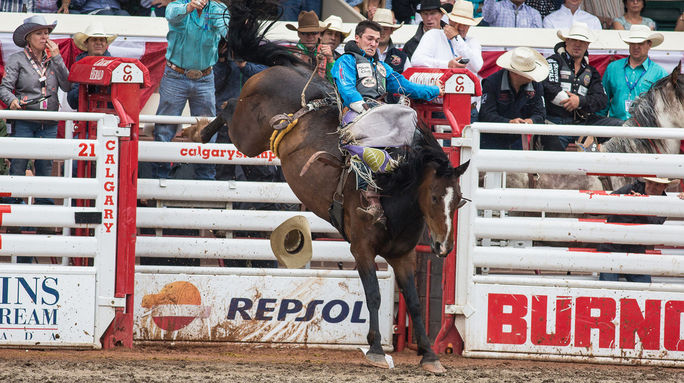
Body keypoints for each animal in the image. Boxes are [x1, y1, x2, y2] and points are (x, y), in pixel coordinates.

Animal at [203, 0, 468, 374]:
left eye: (457, 201)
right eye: (432, 197)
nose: (444, 247)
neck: (393, 192)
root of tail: (284, 71)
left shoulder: (403, 256)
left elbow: (415, 302)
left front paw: (430, 356)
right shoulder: (362, 249)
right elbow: (374, 295)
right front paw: (376, 350)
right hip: (247, 136)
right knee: (226, 108)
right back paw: (199, 131)